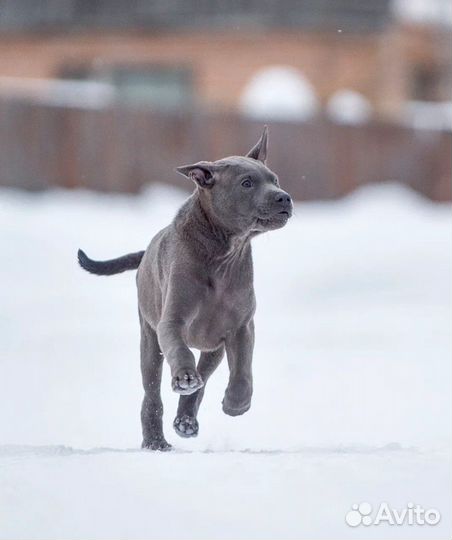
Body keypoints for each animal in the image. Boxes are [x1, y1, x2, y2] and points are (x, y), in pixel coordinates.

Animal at [78, 127, 294, 452]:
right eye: (246, 183)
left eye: (275, 180)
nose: (284, 197)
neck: (222, 255)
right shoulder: (171, 321)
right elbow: (179, 351)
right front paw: (183, 377)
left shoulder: (241, 326)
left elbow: (243, 368)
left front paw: (237, 402)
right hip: (149, 339)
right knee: (152, 392)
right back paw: (155, 439)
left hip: (213, 348)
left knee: (203, 379)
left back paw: (186, 420)